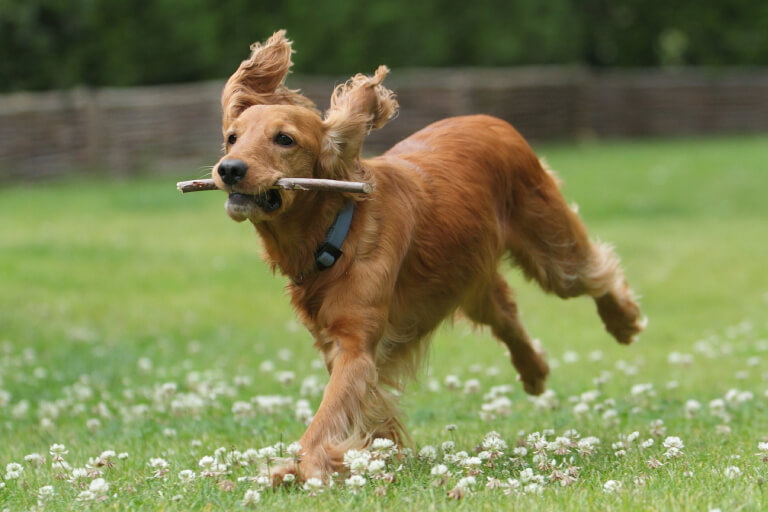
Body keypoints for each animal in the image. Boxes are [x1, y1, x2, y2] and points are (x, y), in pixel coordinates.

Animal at [213, 31, 644, 480]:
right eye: (232, 137)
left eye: (284, 139)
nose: (229, 169)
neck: (337, 230)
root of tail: (489, 118)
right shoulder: (338, 345)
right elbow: (363, 408)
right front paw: (374, 450)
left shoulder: (355, 345)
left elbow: (329, 414)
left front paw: (302, 467)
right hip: (470, 279)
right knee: (506, 313)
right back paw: (534, 371)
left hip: (552, 250)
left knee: (596, 272)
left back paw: (622, 321)